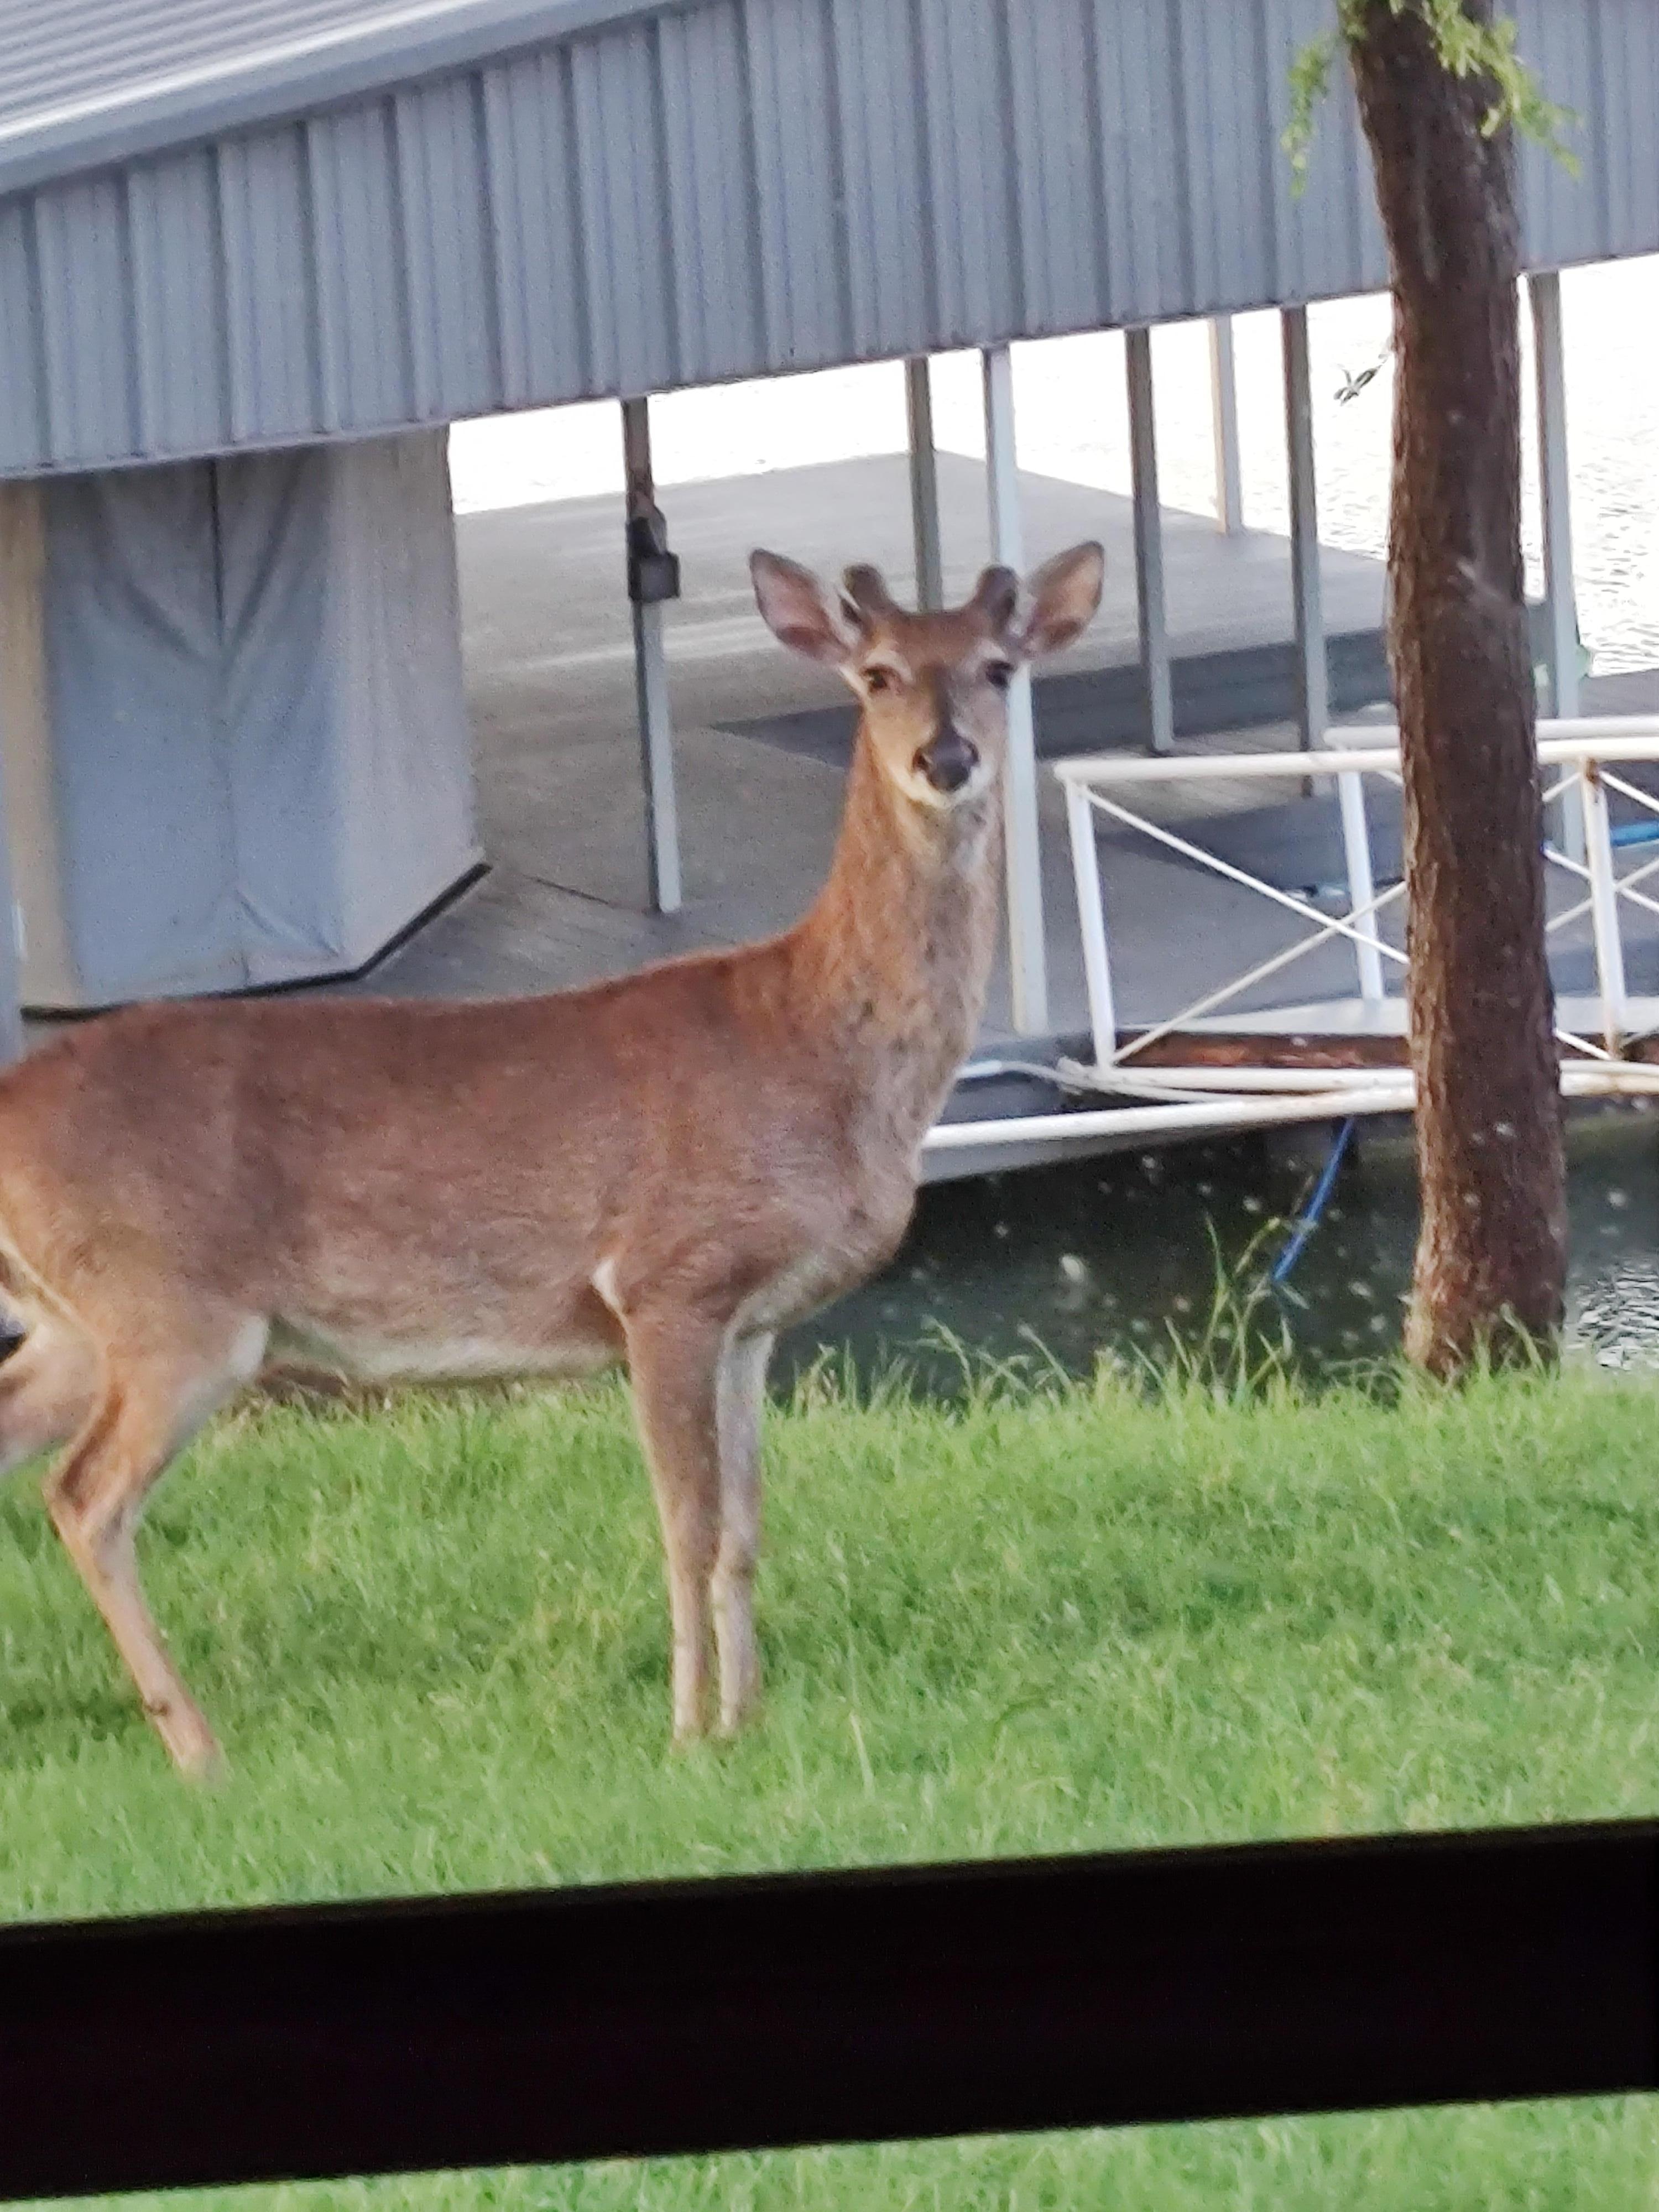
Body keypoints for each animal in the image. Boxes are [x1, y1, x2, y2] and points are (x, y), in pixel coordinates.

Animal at [0, 538, 1104, 1777]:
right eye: (876, 674)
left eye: (999, 668)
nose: (946, 757)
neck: (812, 1043)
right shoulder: (665, 1278)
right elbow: (686, 1525)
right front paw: (690, 1729)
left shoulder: (754, 1320)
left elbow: (746, 1528)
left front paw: (749, 1716)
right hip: (169, 1308)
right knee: (86, 1497)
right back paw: (199, 1750)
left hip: (75, 1320)